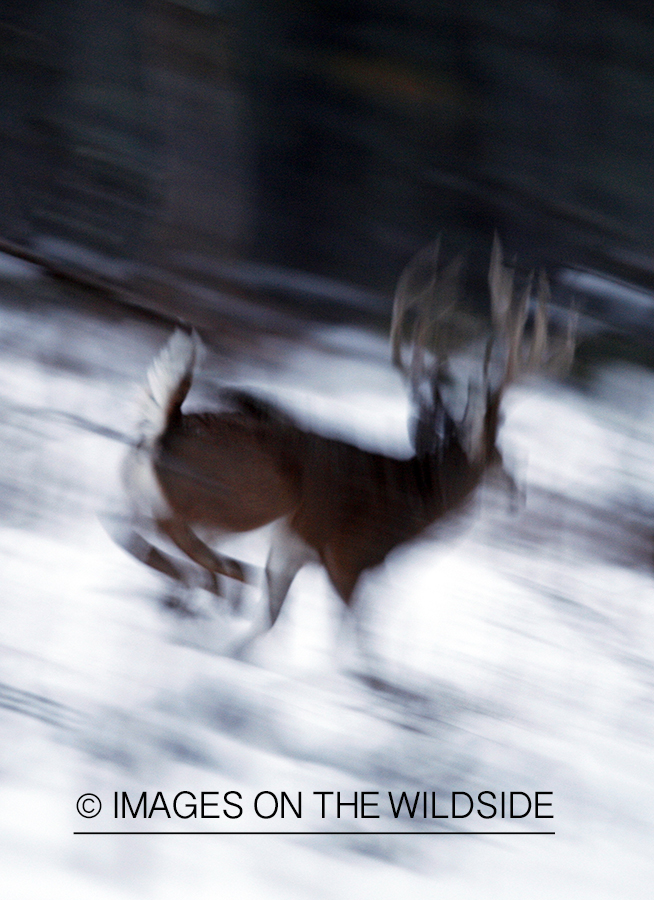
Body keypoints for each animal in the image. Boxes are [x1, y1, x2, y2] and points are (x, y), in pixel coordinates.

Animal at [118, 237, 576, 632]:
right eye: (502, 453)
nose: (519, 495)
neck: (409, 504)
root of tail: (168, 426)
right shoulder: (347, 558)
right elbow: (354, 638)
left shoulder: (292, 552)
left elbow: (270, 621)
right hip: (249, 495)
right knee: (173, 529)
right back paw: (216, 583)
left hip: (153, 489)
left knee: (129, 529)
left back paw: (200, 586)